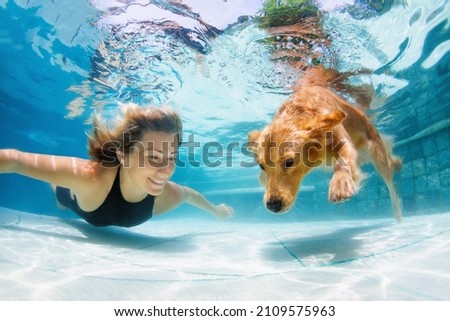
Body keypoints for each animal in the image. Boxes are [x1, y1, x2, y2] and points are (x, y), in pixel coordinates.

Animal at [248, 65, 402, 220]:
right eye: (261, 166)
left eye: (289, 162)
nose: (272, 205)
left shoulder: (343, 141)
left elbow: (343, 160)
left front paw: (340, 184)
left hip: (377, 154)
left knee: (390, 182)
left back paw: (398, 212)